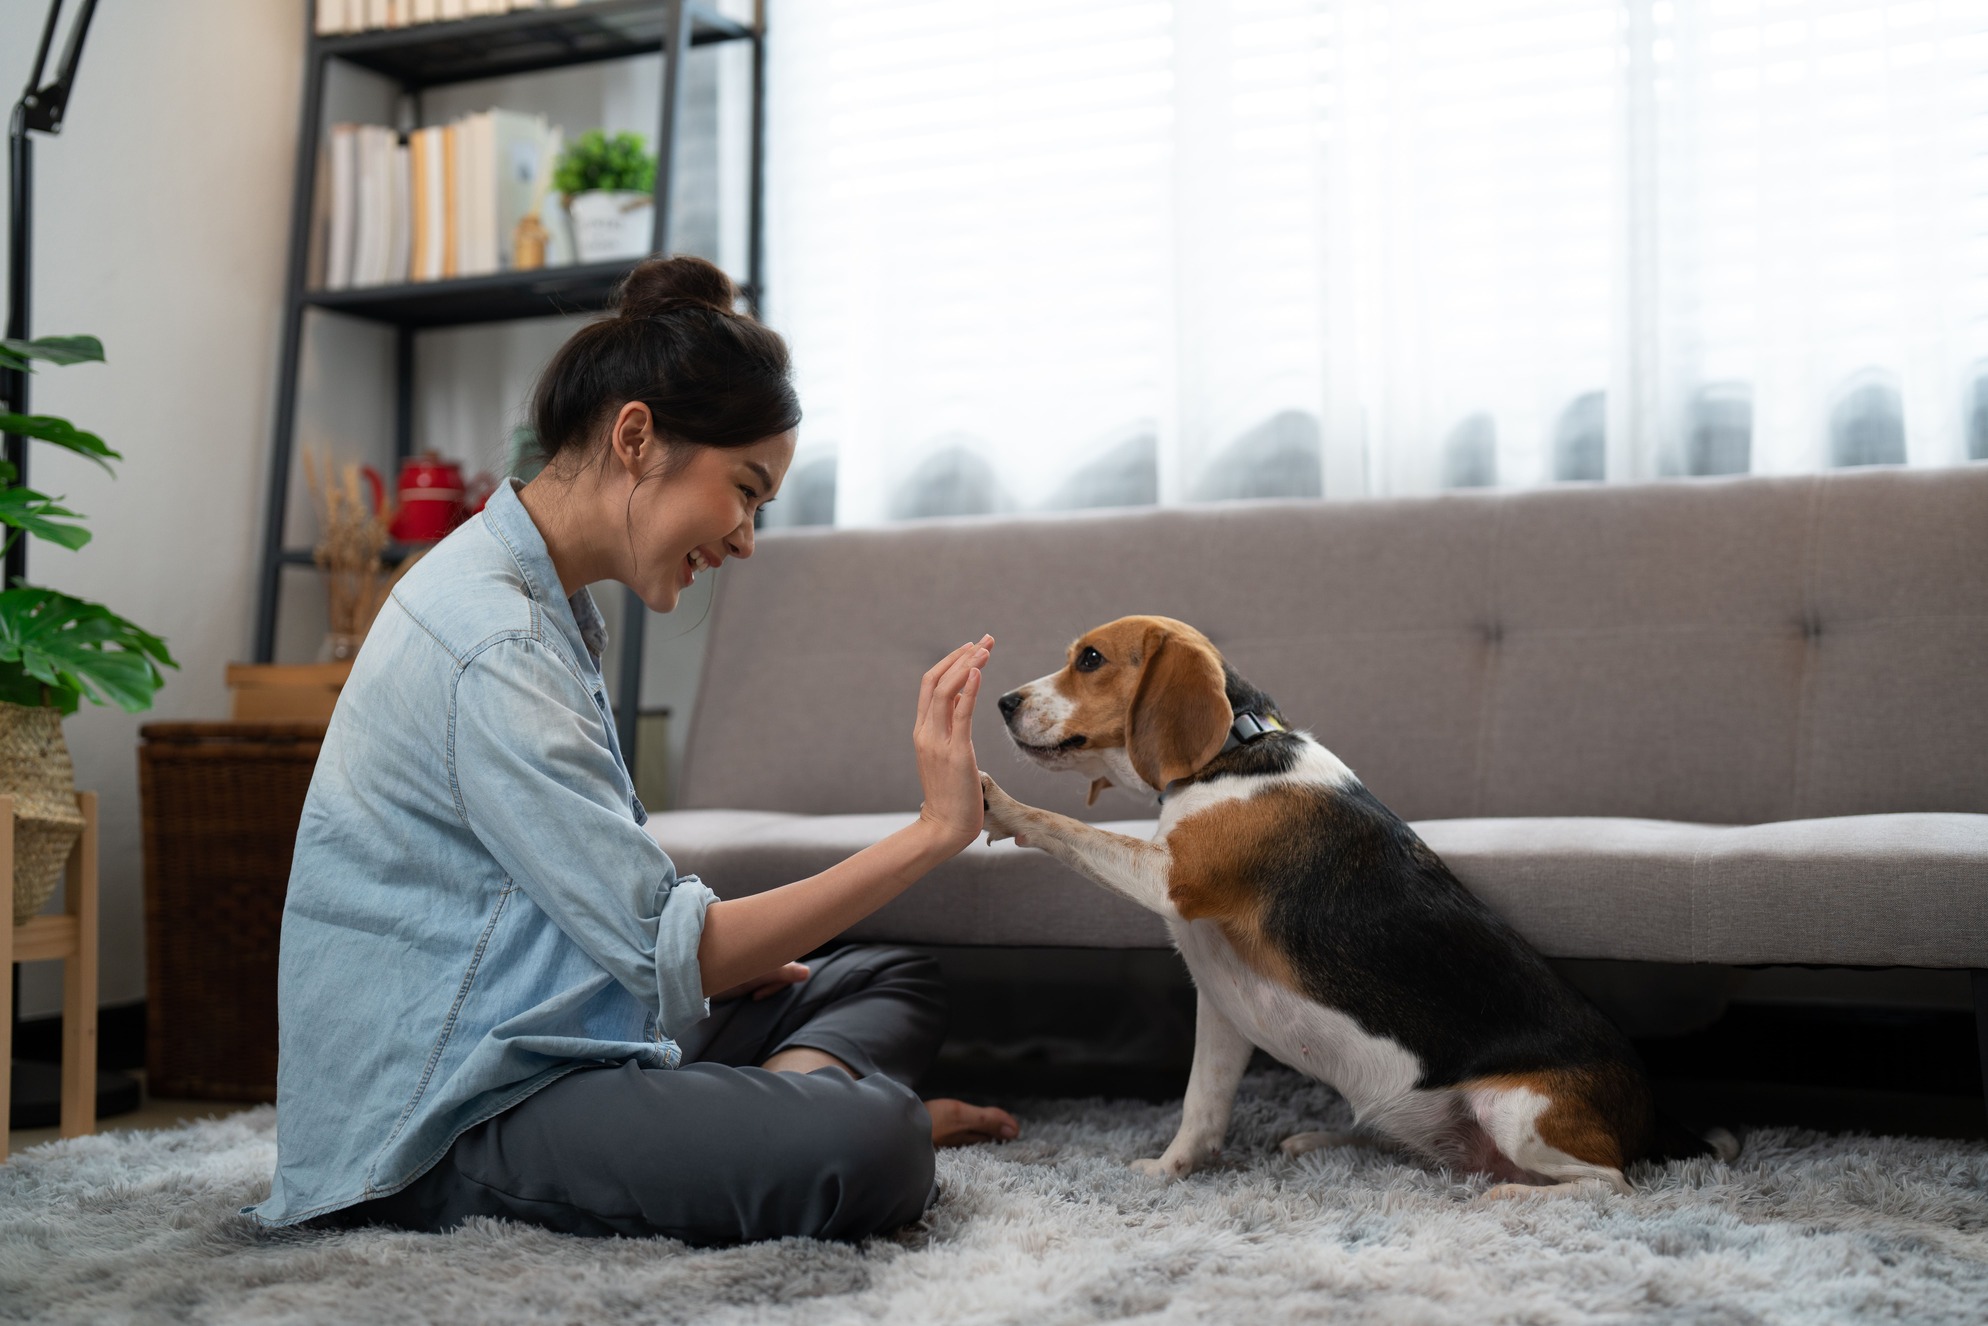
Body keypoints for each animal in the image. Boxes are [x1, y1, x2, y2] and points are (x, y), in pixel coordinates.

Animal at [978, 616, 1725, 1200]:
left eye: (1091, 659)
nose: (1004, 701)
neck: (1238, 748)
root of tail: (1649, 1112)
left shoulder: (1172, 877)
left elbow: (1063, 828)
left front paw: (996, 801)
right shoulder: (1221, 1007)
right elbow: (1200, 1106)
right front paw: (1169, 1172)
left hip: (1520, 1111)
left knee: (1609, 1185)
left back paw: (1511, 1195)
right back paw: (1321, 1141)